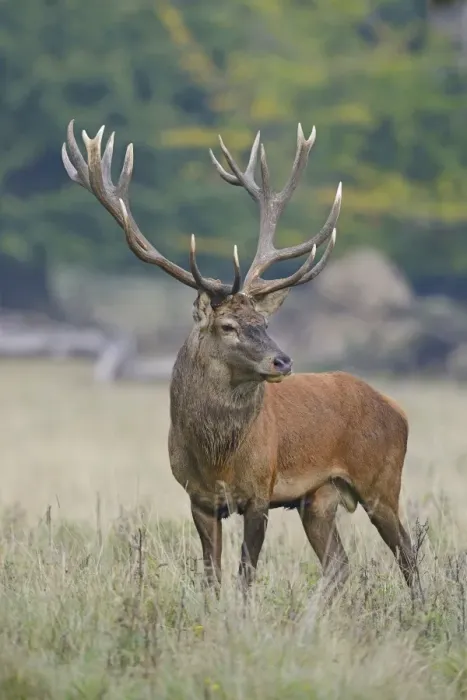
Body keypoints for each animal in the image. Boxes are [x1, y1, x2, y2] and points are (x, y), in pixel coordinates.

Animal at [62, 119, 416, 596]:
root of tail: (398, 410)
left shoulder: (260, 493)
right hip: (318, 498)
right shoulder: (197, 498)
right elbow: (212, 577)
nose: (282, 361)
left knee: (408, 555)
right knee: (339, 566)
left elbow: (246, 577)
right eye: (227, 326)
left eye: (263, 322)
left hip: (382, 482)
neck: (218, 459)